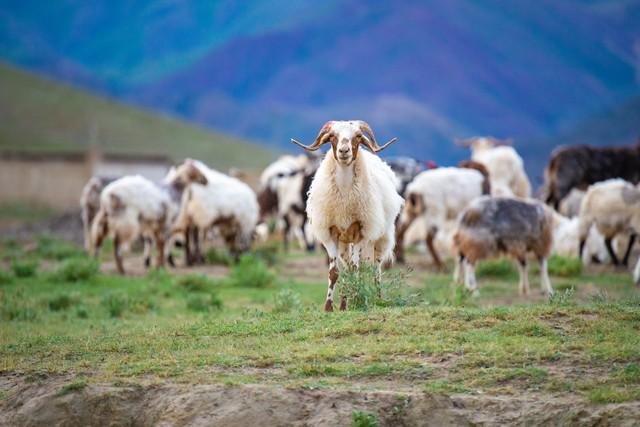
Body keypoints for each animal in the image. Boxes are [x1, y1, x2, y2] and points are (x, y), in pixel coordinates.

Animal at [292, 119, 402, 310]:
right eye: (332, 136)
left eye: (358, 136)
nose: (344, 151)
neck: (344, 197)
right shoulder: (331, 233)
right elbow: (335, 272)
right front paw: (329, 307)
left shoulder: (360, 232)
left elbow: (356, 270)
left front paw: (357, 301)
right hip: (344, 243)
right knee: (347, 268)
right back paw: (345, 304)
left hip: (380, 238)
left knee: (375, 270)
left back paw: (377, 299)